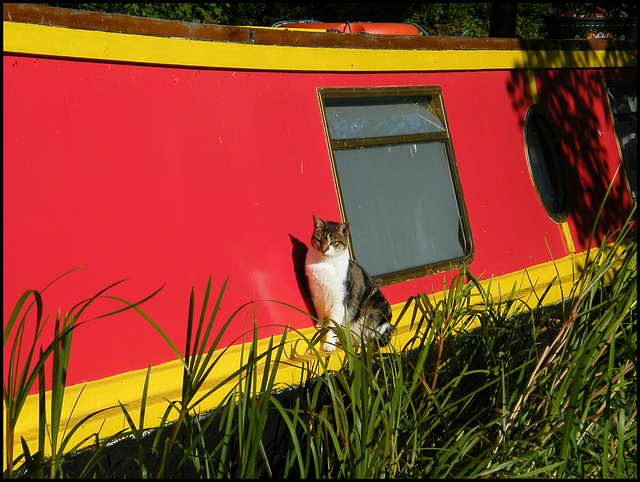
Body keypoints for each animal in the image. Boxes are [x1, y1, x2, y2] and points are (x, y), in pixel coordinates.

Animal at [302, 215, 392, 350]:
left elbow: (333, 324)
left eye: (333, 242)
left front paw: (329, 344)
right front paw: (320, 325)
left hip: (371, 314)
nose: (323, 250)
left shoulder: (339, 298)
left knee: (366, 339)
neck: (325, 263)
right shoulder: (316, 294)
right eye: (319, 240)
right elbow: (320, 312)